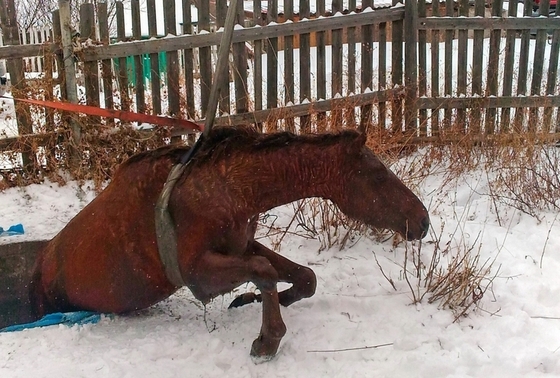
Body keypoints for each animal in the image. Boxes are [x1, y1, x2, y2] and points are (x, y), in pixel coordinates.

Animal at [29, 125, 428, 358]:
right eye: (378, 174)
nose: (422, 221)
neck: (229, 190)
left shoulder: (241, 245)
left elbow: (304, 277)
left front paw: (253, 301)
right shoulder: (196, 274)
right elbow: (265, 271)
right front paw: (267, 339)